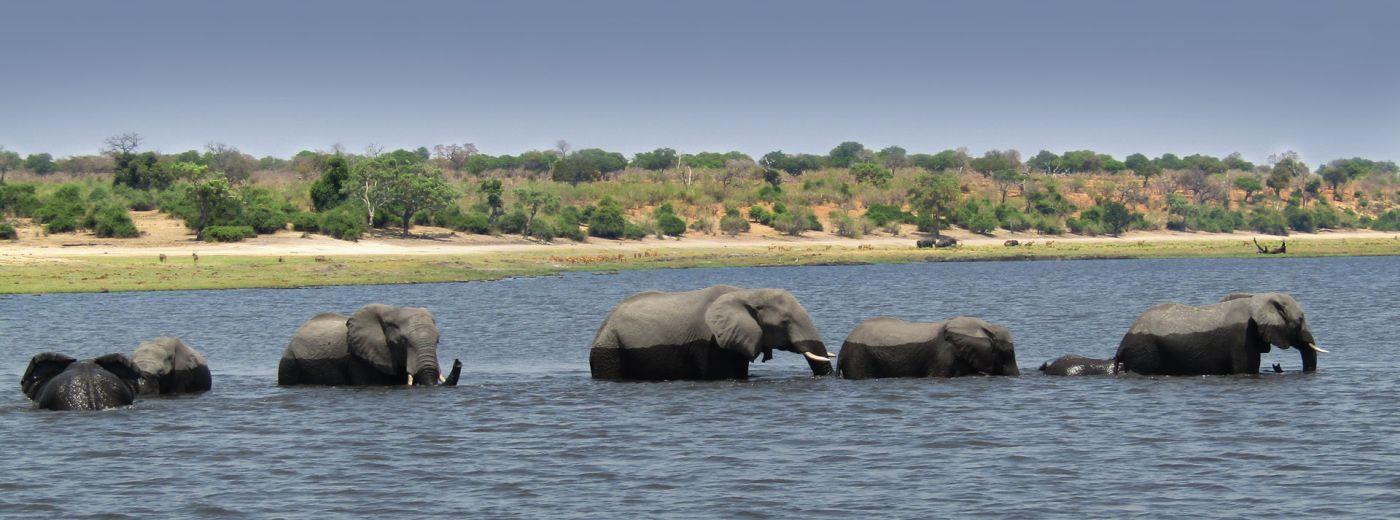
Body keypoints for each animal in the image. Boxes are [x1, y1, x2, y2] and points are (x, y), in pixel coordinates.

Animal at [1108, 291, 1327, 375]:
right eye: (1299, 321)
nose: (1277, 366)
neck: (1256, 298)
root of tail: (1121, 345)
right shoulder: (1242, 337)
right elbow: (1246, 368)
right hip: (1145, 352)